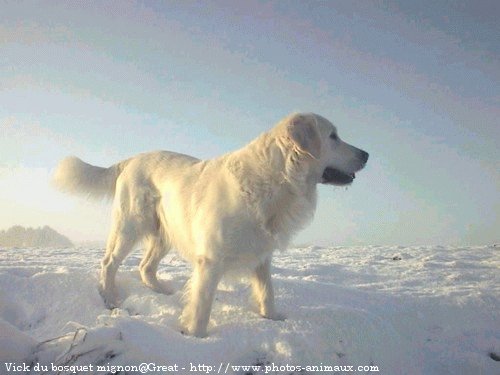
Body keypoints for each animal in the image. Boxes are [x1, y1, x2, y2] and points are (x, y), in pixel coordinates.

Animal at [54, 114, 368, 338]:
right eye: (333, 136)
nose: (366, 154)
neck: (274, 178)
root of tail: (132, 159)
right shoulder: (211, 260)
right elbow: (203, 306)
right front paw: (195, 337)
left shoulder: (262, 256)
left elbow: (267, 292)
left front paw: (272, 320)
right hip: (131, 225)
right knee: (109, 263)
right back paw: (111, 299)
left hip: (166, 232)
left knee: (145, 267)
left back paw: (164, 292)